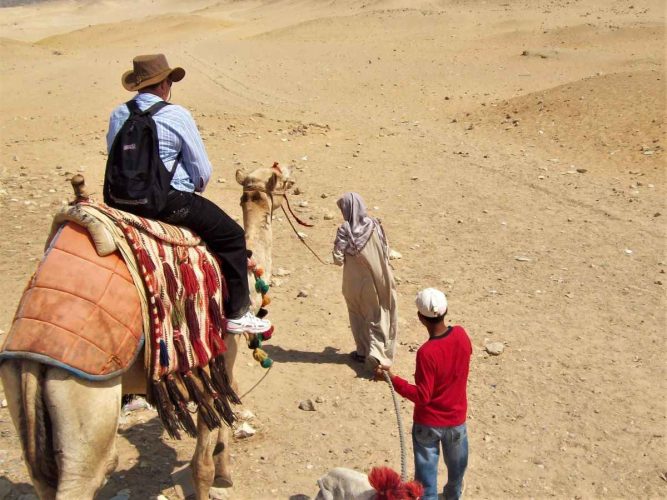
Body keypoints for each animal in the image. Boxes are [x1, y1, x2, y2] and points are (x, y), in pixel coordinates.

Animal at [0, 164, 295, 499]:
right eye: (285, 178)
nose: (295, 184)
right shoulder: (218, 354)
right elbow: (203, 460)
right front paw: (218, 475)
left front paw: (225, 473)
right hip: (85, 405)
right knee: (87, 473)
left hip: (21, 393)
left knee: (42, 477)